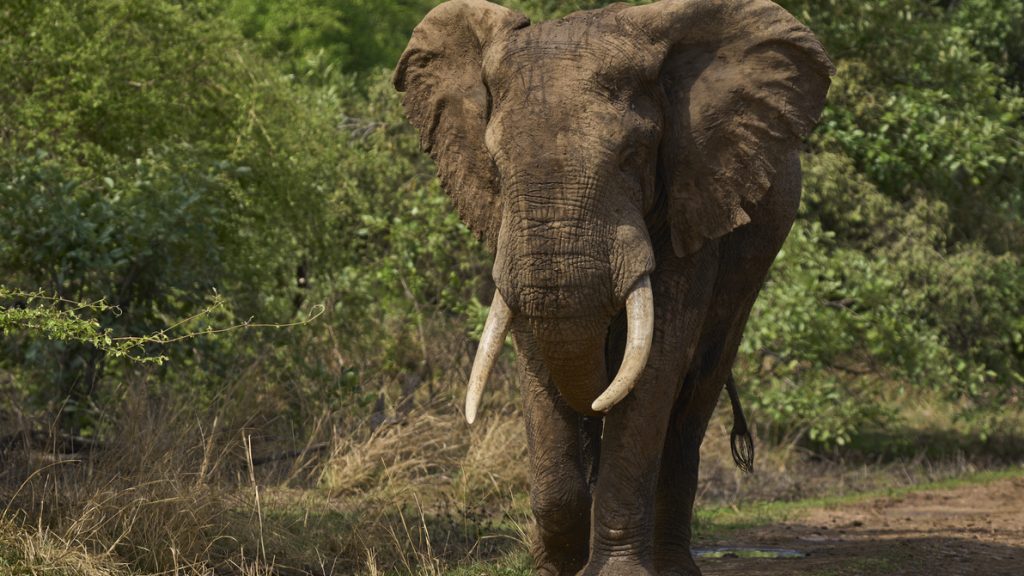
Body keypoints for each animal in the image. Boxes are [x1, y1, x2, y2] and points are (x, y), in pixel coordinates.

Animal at [391, 0, 831, 569]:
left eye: (632, 155)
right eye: (496, 164)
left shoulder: (692, 194)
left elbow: (656, 362)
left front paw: (616, 571)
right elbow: (537, 352)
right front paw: (555, 569)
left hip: (753, 265)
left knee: (694, 398)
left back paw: (674, 566)